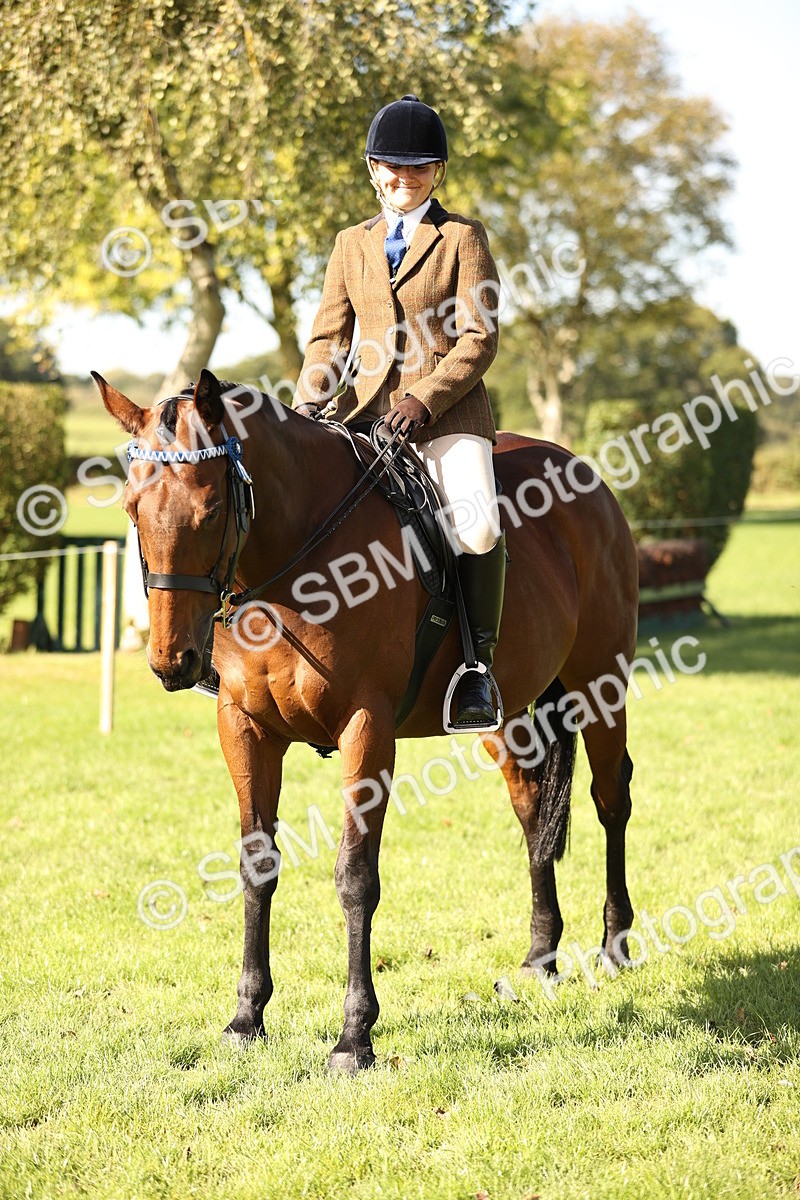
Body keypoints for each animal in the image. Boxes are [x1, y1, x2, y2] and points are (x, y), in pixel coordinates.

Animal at [94, 368, 639, 1074]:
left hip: (602, 685)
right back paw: (540, 959)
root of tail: (583, 473)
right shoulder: (244, 727)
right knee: (531, 810)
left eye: (210, 510)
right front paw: (246, 1018)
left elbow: (355, 876)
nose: (173, 661)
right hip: (509, 711)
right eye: (133, 508)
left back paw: (616, 943)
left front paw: (355, 1036)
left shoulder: (366, 729)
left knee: (610, 798)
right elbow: (256, 864)